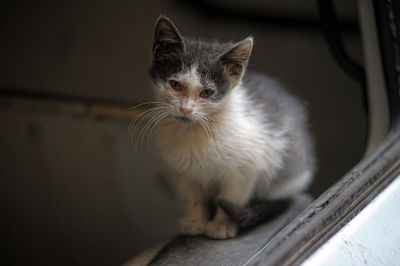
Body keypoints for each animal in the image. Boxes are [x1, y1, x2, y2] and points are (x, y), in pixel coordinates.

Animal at [147, 15, 316, 240]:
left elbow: (230, 197)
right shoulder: (183, 170)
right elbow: (192, 196)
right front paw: (194, 221)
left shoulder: (248, 166)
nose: (185, 109)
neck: (196, 131)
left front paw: (221, 225)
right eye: (175, 85)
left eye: (207, 92)